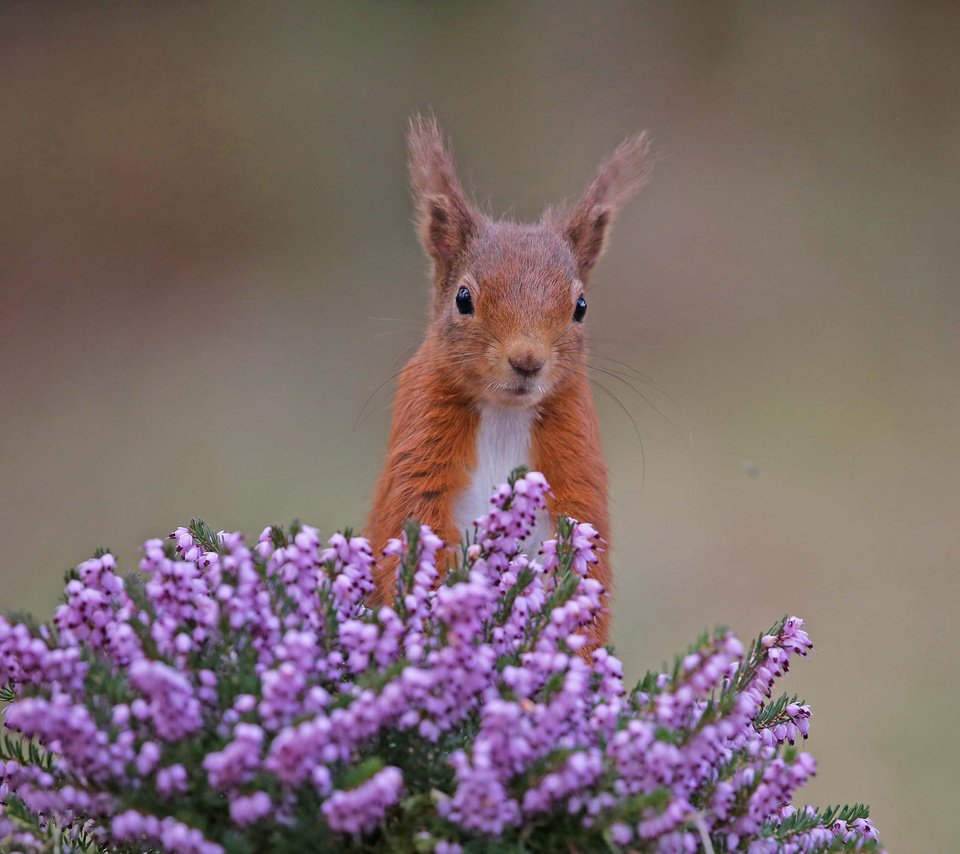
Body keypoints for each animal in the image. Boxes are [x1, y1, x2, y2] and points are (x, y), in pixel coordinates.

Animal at [370, 117, 652, 644]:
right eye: (463, 299)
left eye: (581, 307)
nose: (527, 360)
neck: (503, 413)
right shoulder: (421, 438)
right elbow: (414, 518)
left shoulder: (576, 455)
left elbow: (587, 555)